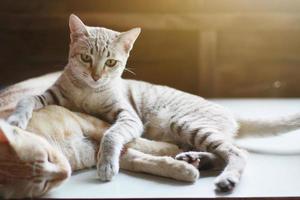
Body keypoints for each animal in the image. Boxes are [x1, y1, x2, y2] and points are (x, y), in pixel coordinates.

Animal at [7, 14, 300, 192]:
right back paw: (195, 159)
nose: (96, 75)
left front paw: (106, 164)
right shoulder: (52, 96)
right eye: (86, 58)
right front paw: (16, 119)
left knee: (236, 153)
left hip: (186, 124)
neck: (88, 93)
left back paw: (225, 178)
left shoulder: (128, 117)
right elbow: (28, 99)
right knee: (222, 153)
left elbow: (111, 136)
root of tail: (228, 112)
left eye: (111, 62)